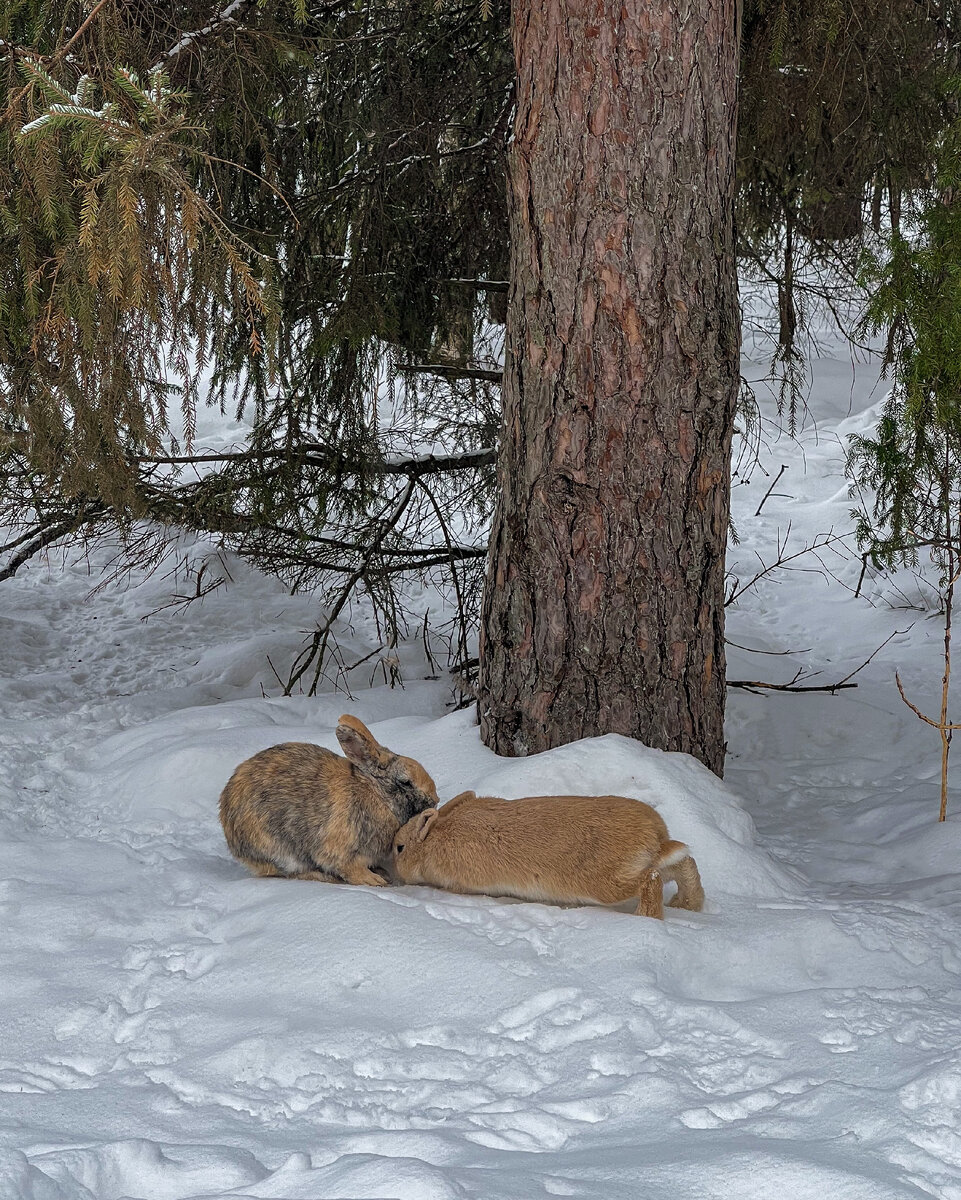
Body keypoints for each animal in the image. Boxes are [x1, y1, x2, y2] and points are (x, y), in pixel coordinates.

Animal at [218, 715, 439, 888]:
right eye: (405, 782)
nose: (435, 801)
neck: (377, 795)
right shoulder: (341, 851)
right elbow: (349, 868)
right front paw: (374, 881)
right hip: (280, 851)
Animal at [388, 787, 705, 916]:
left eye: (399, 848)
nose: (395, 872)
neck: (434, 840)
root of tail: (656, 835)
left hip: (606, 883)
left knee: (651, 879)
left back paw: (645, 917)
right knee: (684, 863)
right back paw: (687, 904)